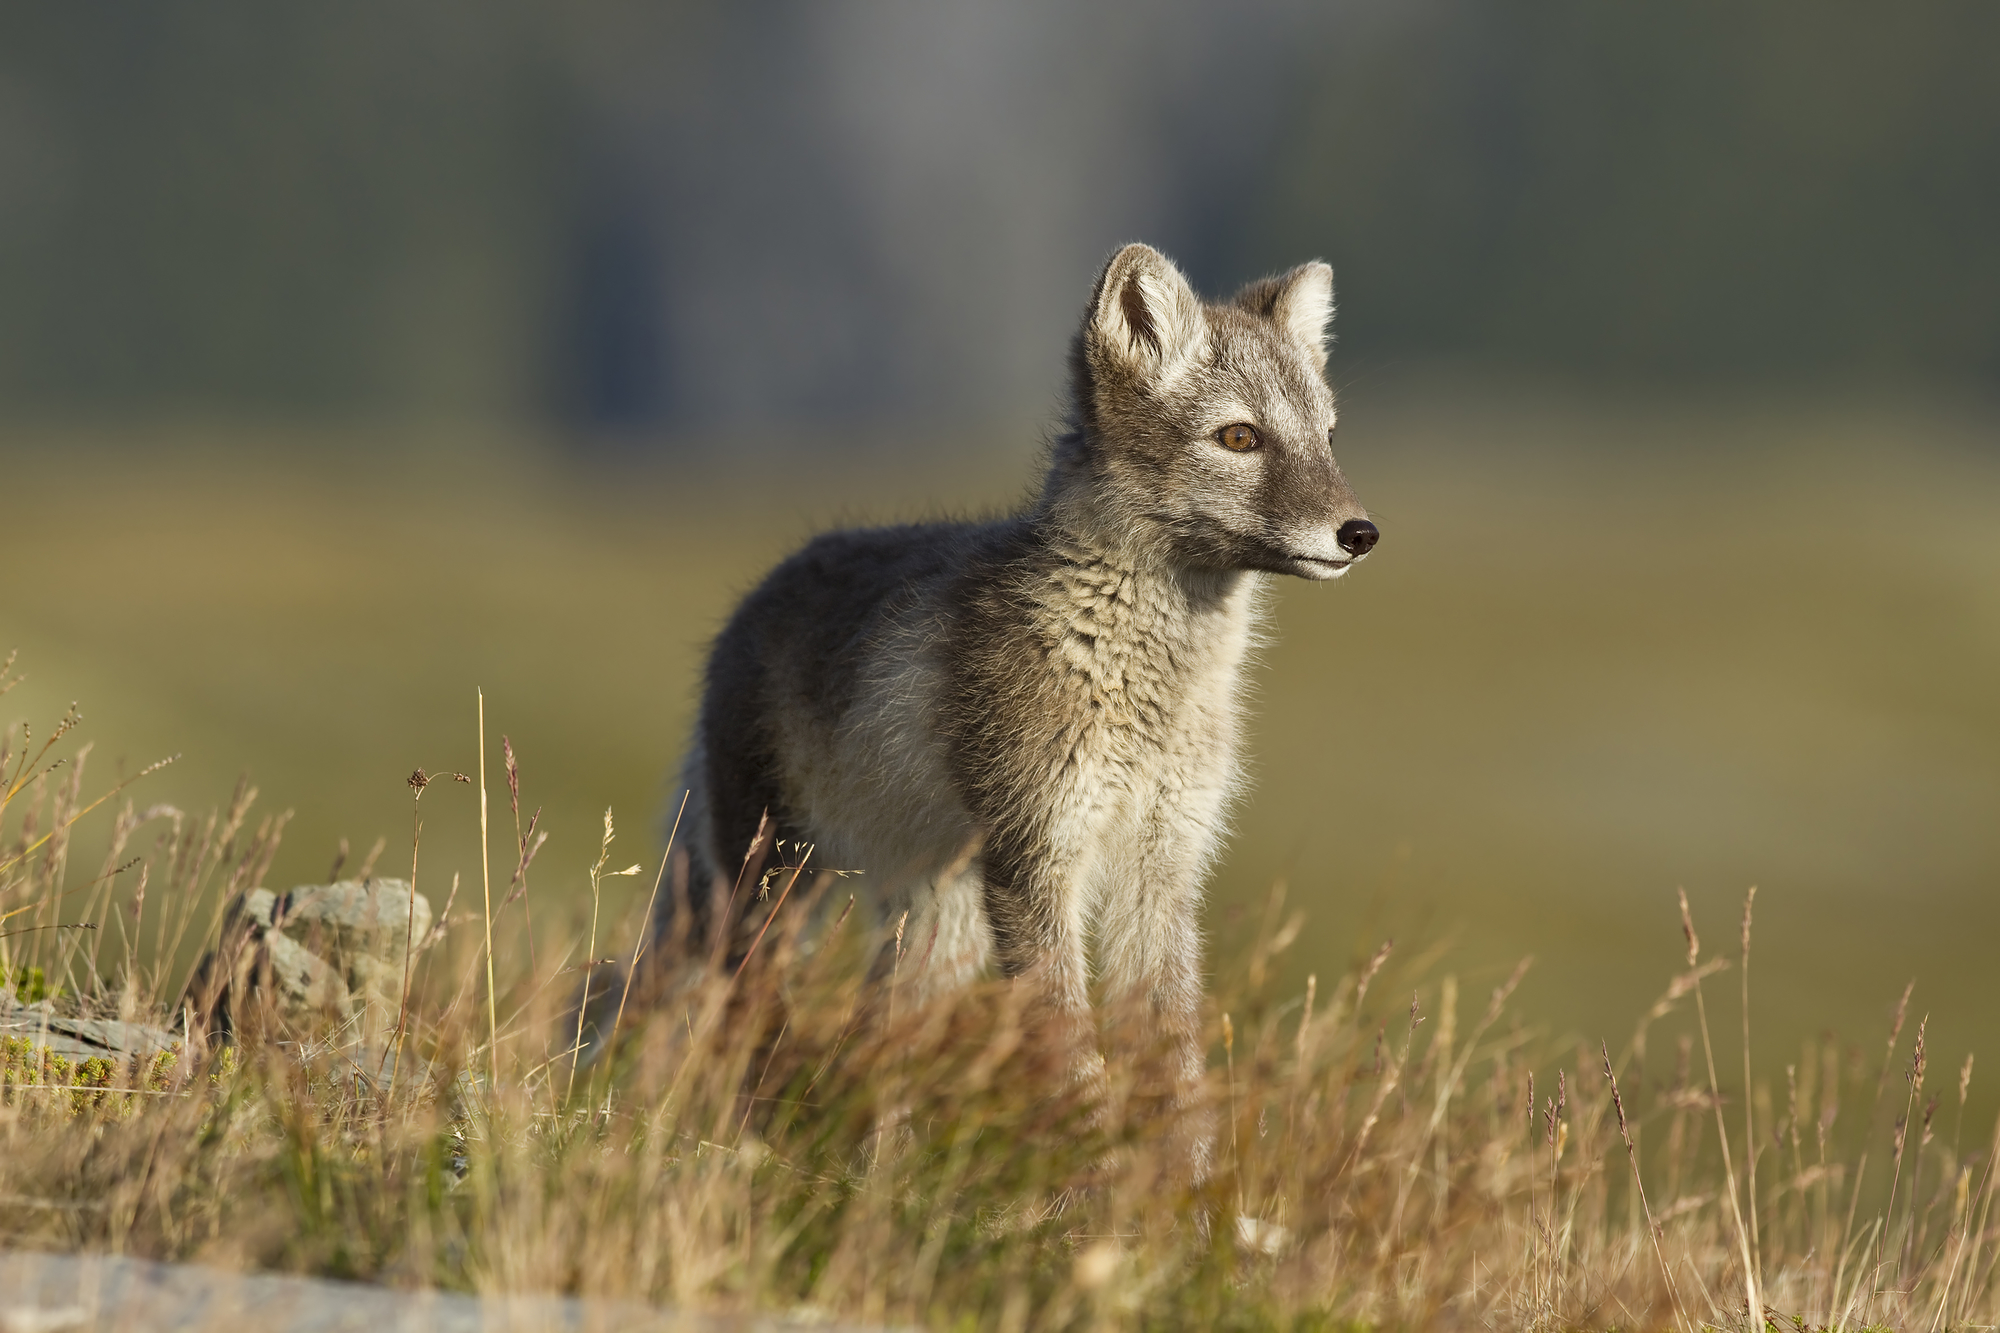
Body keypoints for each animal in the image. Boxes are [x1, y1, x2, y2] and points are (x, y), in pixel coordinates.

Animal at [656, 241, 1376, 1112]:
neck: (1141, 681)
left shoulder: (1164, 866)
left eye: (1328, 436)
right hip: (777, 889)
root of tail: (751, 600)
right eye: (1240, 437)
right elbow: (1073, 1060)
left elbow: (1176, 1077)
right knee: (743, 1021)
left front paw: (1170, 1156)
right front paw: (1093, 1149)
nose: (1360, 533)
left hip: (937, 929)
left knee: (873, 1043)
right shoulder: (1038, 856)